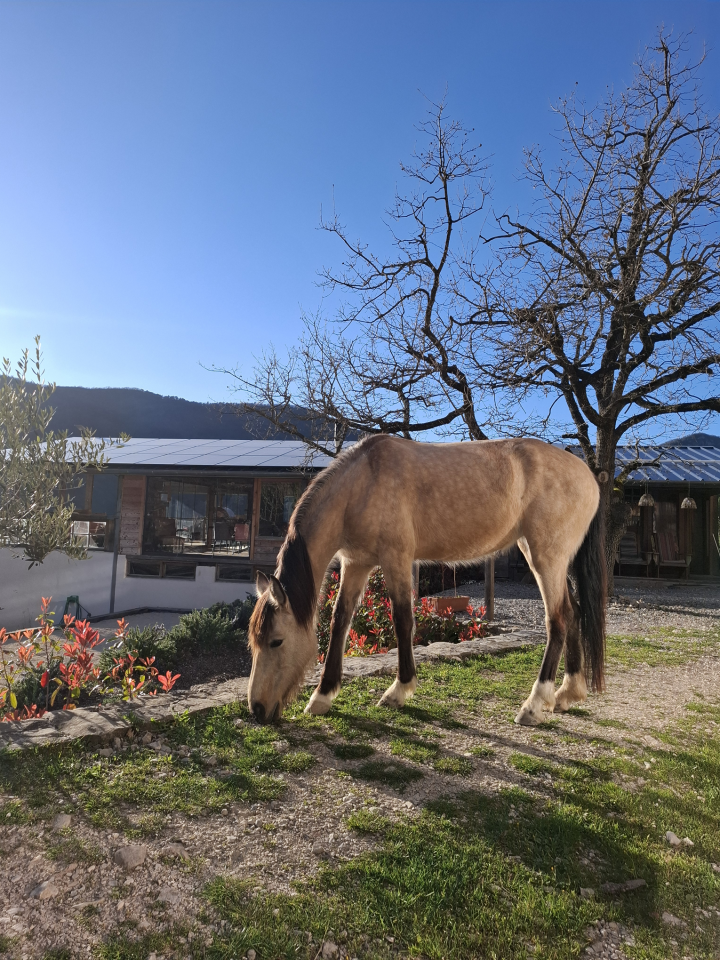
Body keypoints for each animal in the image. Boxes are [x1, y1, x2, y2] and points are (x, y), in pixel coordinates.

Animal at [247, 434, 606, 726]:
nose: (257, 709)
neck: (362, 484)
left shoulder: (396, 559)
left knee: (557, 620)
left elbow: (402, 619)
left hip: (545, 557)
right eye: (254, 641)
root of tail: (588, 475)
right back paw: (567, 694)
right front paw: (322, 697)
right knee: (573, 613)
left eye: (277, 641)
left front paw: (399, 690)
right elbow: (340, 621)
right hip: (549, 559)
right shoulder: (356, 563)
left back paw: (533, 706)